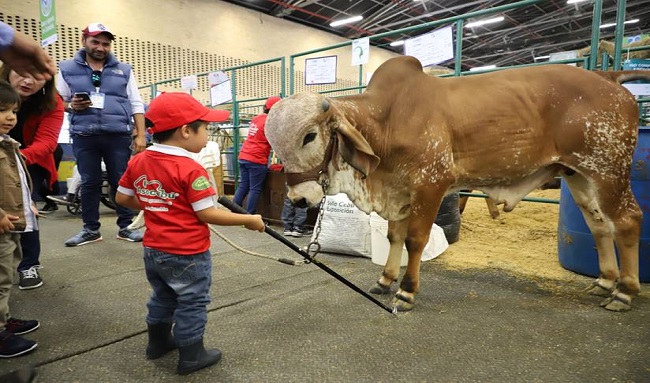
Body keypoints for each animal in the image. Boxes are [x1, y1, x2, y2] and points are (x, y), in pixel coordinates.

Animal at [264, 56, 644, 312]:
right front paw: (385, 280)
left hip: (608, 170)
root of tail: (608, 77)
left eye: (310, 136)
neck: (387, 119)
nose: (299, 199)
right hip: (578, 174)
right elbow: (394, 237)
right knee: (599, 225)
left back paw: (624, 291)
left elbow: (415, 240)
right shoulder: (401, 192)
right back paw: (604, 281)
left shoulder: (431, 185)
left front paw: (406, 290)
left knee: (627, 221)